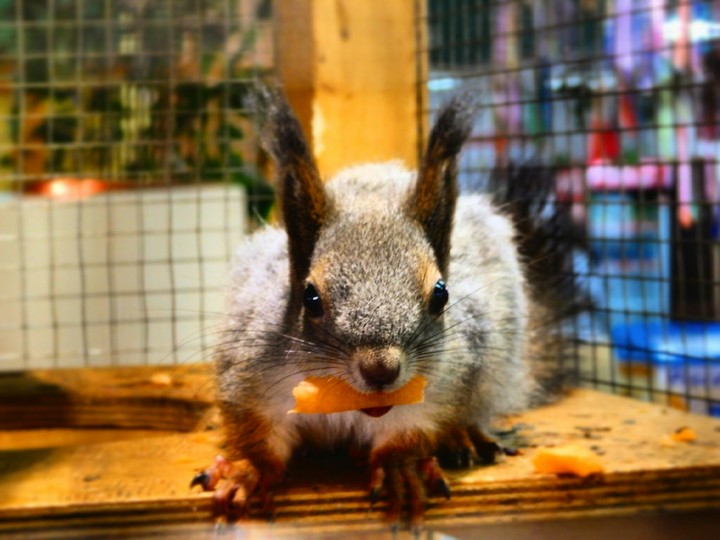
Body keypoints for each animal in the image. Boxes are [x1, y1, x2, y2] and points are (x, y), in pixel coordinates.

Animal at [191, 88, 584, 528]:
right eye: (310, 297)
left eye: (441, 294)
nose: (381, 370)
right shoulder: (249, 374)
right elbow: (256, 434)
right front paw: (248, 470)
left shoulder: (445, 387)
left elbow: (410, 434)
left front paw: (400, 469)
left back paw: (464, 435)